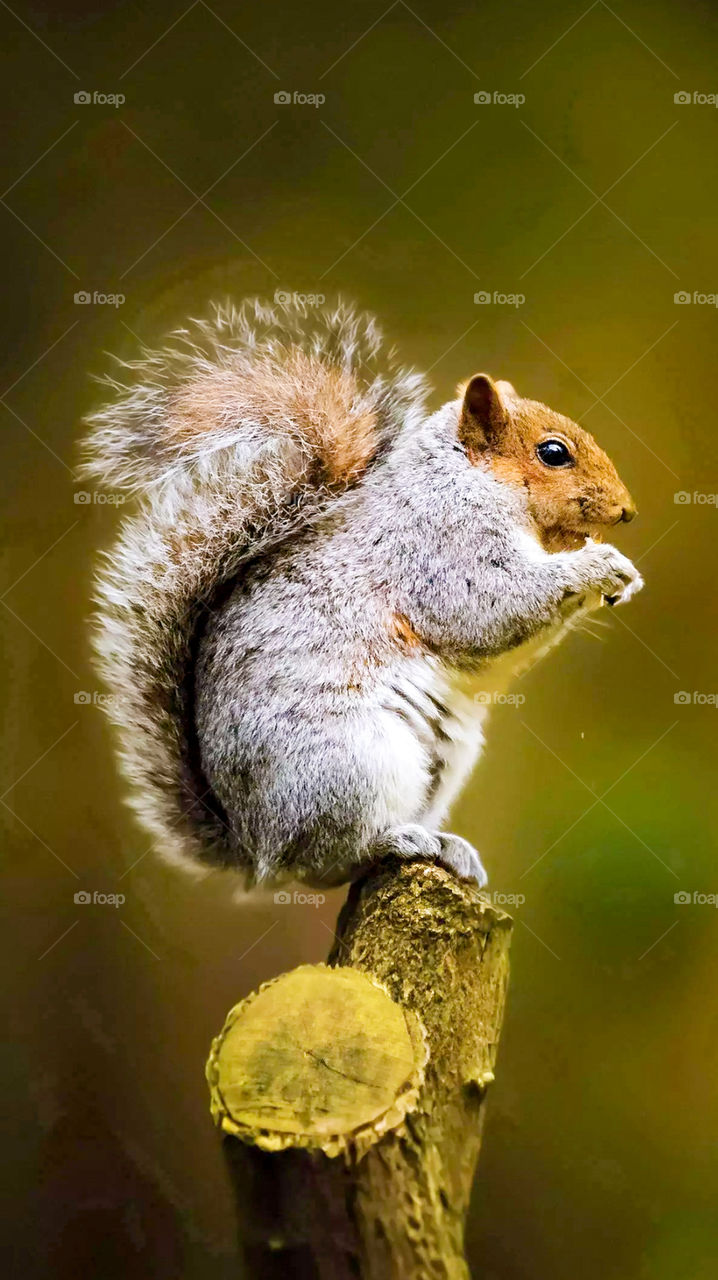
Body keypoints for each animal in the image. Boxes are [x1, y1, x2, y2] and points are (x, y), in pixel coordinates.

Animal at [81, 297, 643, 889]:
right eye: (553, 453)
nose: (627, 510)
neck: (466, 479)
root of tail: (254, 846)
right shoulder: (440, 550)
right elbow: (492, 607)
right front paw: (599, 564)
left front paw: (619, 576)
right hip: (354, 762)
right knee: (327, 859)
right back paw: (397, 840)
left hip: (440, 765)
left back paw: (448, 847)